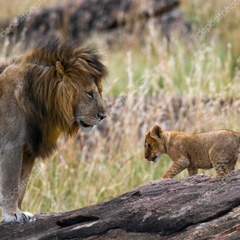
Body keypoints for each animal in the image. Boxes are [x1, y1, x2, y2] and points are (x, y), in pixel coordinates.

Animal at [0, 38, 108, 222]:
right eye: (89, 93)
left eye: (99, 92)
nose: (103, 116)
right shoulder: (11, 145)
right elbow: (11, 182)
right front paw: (13, 214)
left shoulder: (28, 150)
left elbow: (21, 185)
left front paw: (21, 212)